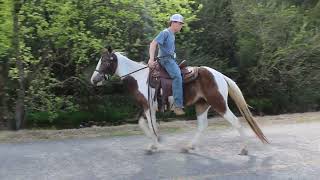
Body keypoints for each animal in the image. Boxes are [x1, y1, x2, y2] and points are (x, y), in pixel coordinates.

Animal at [91, 47, 268, 155]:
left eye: (105, 61)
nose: (94, 79)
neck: (139, 77)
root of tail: (220, 76)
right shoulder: (146, 107)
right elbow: (143, 124)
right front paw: (155, 142)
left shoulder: (148, 107)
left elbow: (151, 125)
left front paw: (155, 144)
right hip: (202, 105)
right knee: (202, 126)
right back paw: (189, 146)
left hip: (219, 104)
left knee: (236, 122)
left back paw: (244, 149)